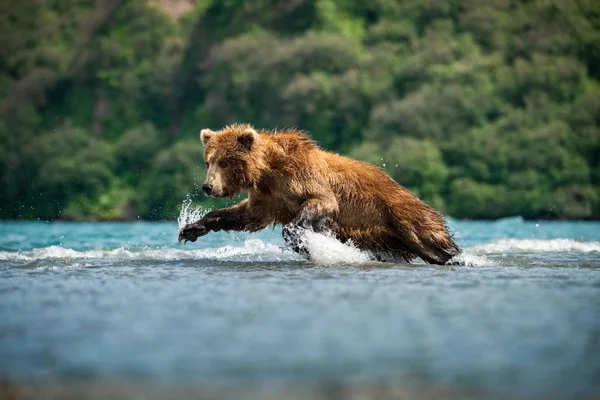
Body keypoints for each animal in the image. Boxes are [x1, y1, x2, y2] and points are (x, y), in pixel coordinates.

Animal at [178, 123, 460, 264]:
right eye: (208, 161)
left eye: (225, 161)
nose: (208, 186)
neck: (268, 170)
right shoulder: (268, 197)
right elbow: (245, 216)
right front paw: (191, 228)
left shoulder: (304, 177)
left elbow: (321, 203)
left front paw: (301, 239)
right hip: (386, 238)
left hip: (405, 216)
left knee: (434, 243)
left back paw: (455, 257)